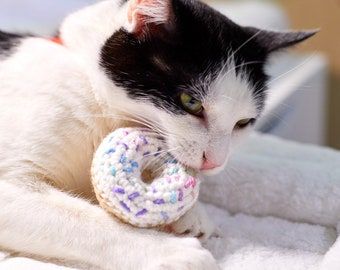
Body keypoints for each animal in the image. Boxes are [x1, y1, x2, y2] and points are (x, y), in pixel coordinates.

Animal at [0, 0, 316, 270]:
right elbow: (80, 219)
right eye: (191, 102)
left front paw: (194, 215)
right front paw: (173, 252)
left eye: (244, 122)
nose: (214, 162)